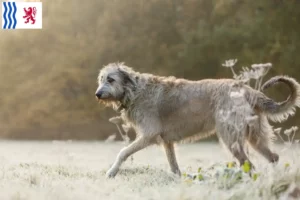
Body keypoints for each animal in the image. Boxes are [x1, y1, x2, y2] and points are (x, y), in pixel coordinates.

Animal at [95, 62, 300, 178]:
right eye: (101, 79)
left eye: (111, 79)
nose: (97, 94)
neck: (134, 90)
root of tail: (246, 89)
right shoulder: (167, 141)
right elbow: (173, 165)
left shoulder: (149, 135)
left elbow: (123, 152)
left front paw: (111, 172)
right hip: (255, 136)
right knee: (273, 157)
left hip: (231, 138)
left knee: (248, 164)